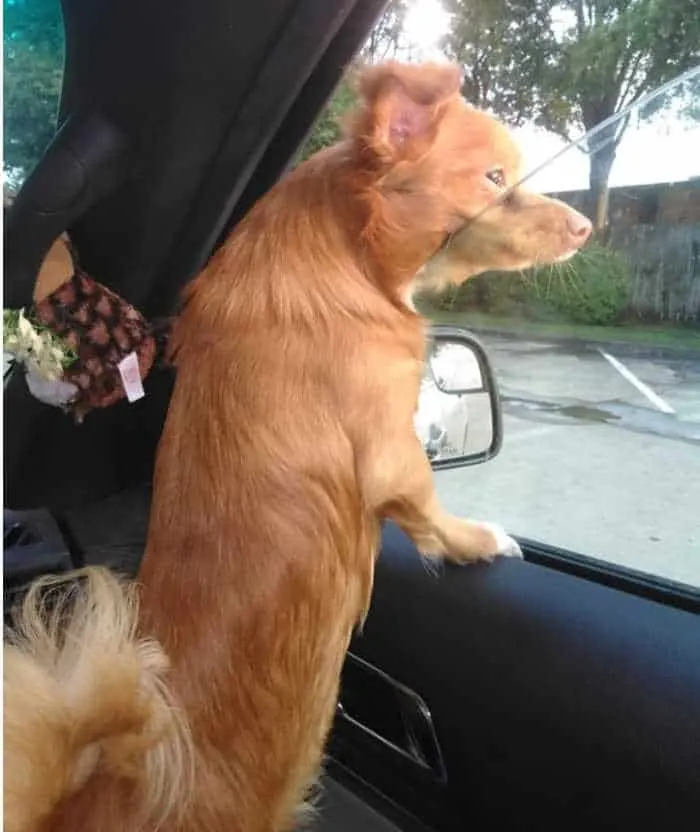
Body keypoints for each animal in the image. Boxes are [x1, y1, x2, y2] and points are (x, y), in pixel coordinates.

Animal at [4, 60, 592, 832]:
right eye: (495, 177)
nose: (587, 224)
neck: (347, 255)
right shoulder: (394, 452)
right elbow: (432, 510)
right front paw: (481, 541)